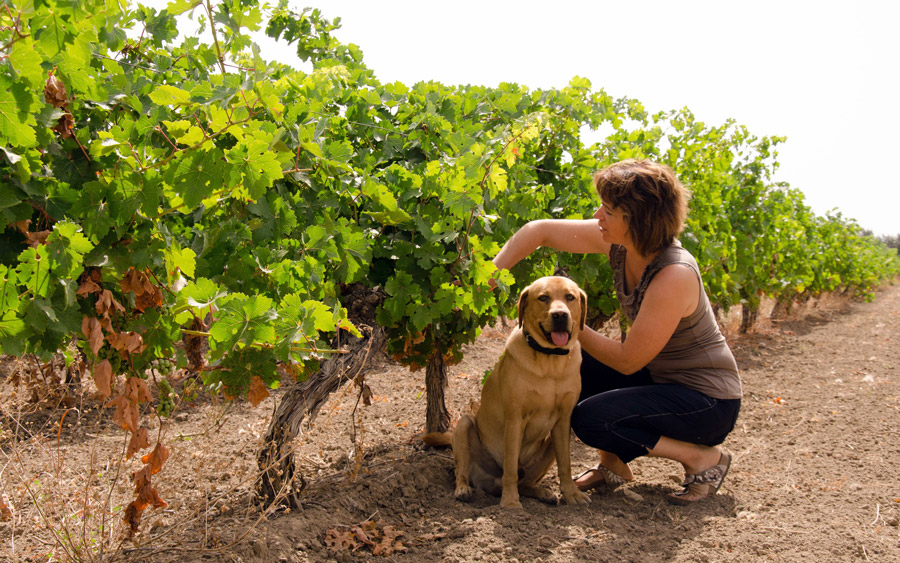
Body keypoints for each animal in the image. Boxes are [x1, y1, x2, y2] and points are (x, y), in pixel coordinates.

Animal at [424, 278, 592, 512]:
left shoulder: (563, 421)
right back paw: (464, 489)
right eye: (543, 298)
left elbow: (565, 465)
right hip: (465, 425)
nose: (560, 315)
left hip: (547, 444)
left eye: (570, 297)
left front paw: (572, 494)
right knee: (463, 470)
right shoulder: (515, 419)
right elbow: (510, 468)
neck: (549, 361)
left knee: (526, 482)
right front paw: (511, 502)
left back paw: (541, 492)